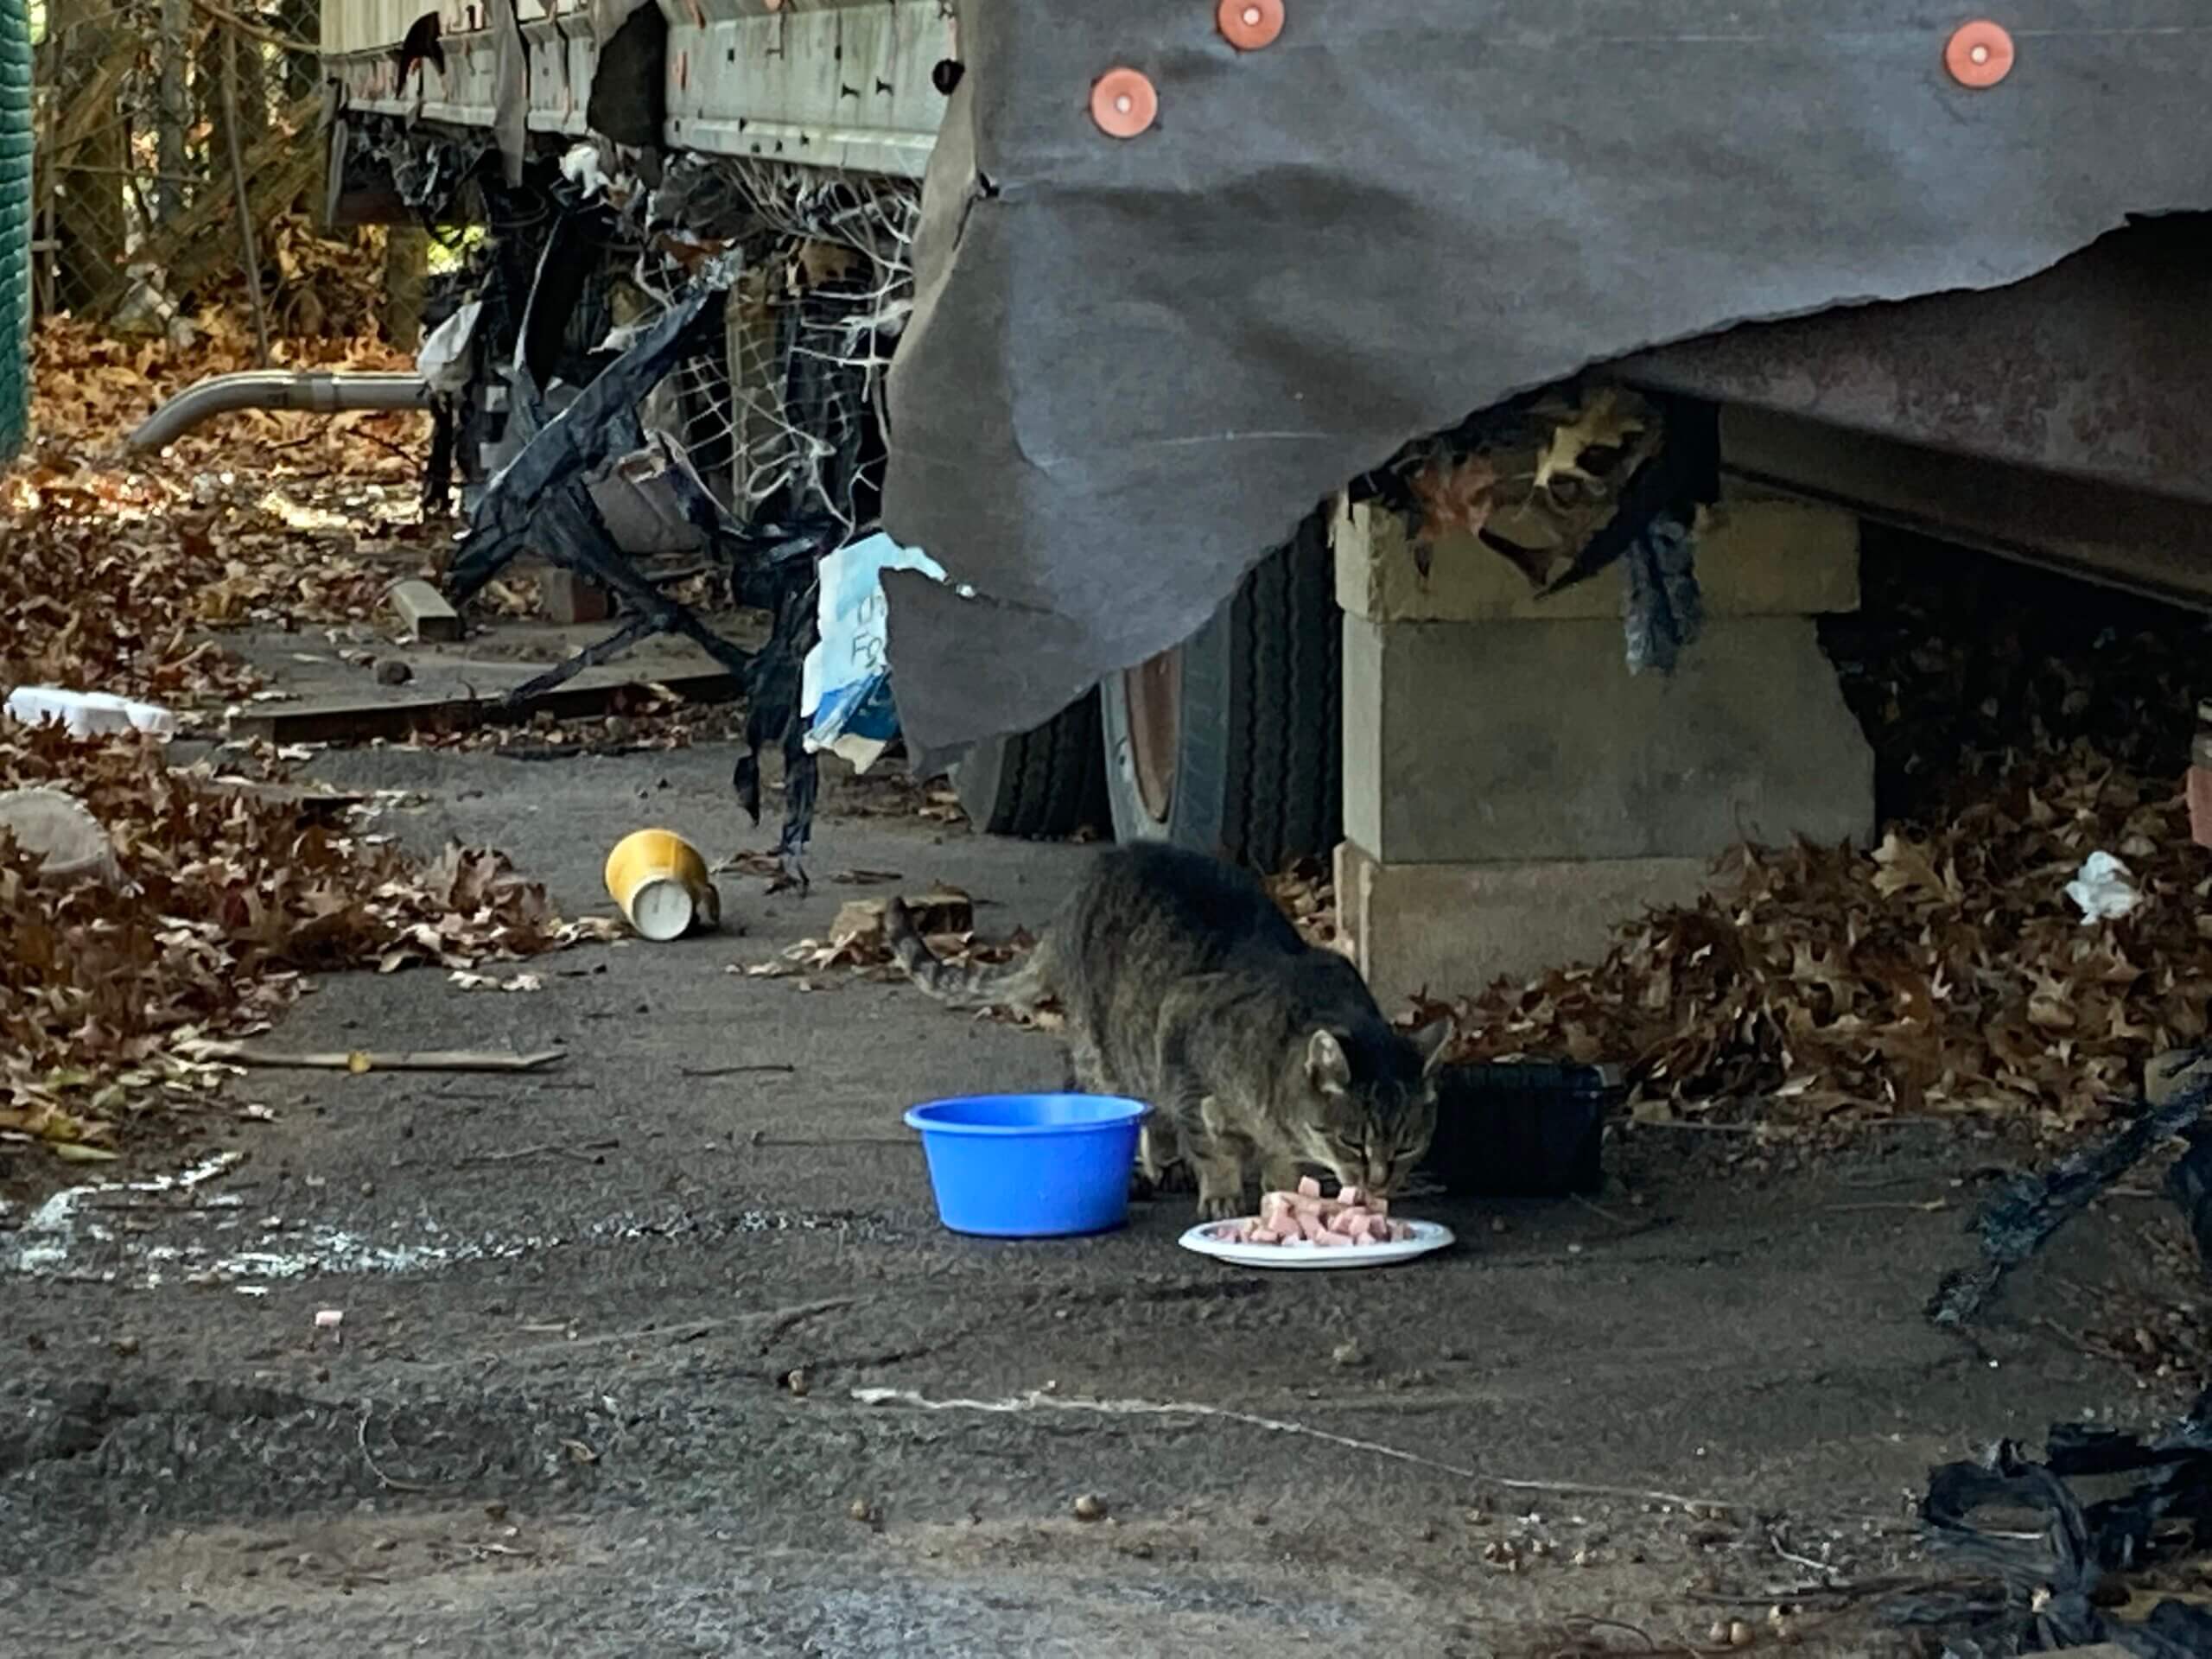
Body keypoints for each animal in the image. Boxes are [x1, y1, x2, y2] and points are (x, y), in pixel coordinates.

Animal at [880, 844, 1451, 1221]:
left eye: (1407, 1146)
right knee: (1101, 1092)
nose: (1379, 1182)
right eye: (1353, 1142)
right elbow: (1211, 1145)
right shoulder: (1180, 1036)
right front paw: (1221, 1191)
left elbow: (1277, 1163)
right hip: (1109, 1049)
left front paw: (1281, 1192)